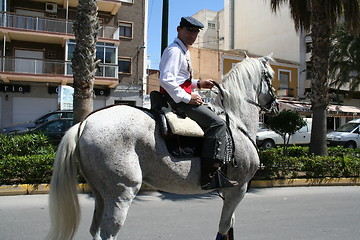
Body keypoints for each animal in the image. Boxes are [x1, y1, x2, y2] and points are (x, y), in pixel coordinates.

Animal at [46, 54, 278, 240]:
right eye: (270, 76)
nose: (275, 105)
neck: (236, 123)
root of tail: (84, 123)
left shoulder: (231, 191)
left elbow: (229, 226)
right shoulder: (238, 188)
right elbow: (224, 227)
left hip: (101, 193)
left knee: (95, 230)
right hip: (121, 192)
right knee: (107, 233)